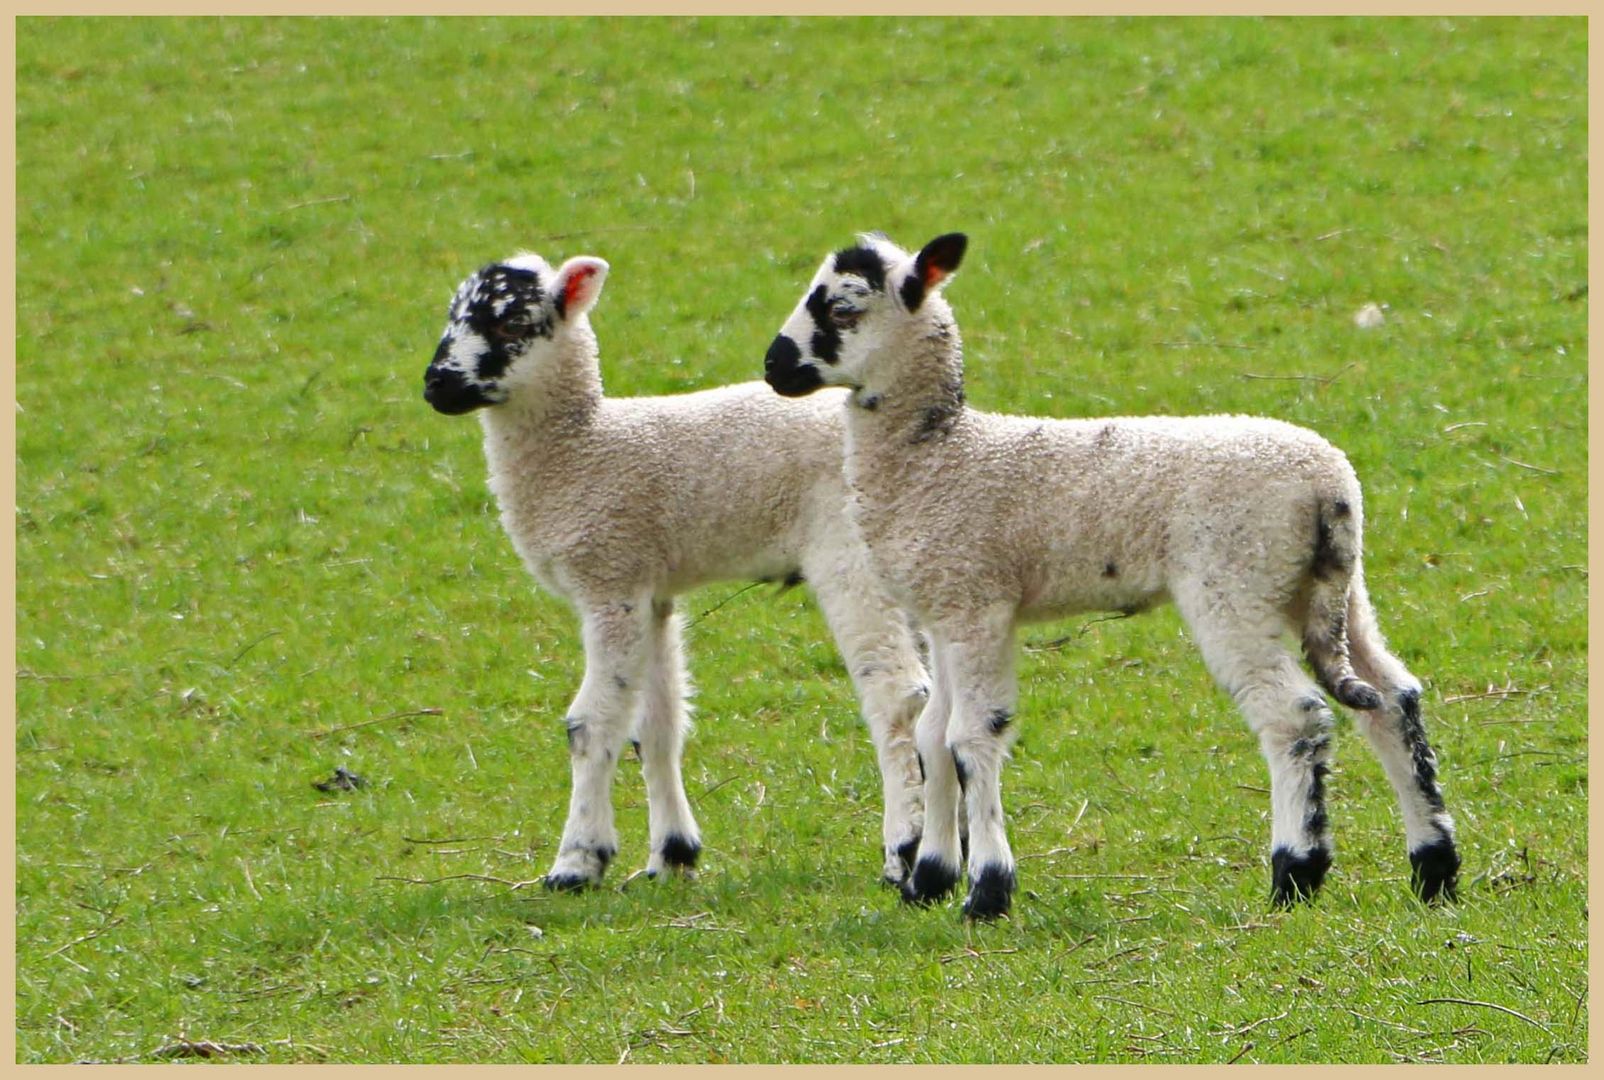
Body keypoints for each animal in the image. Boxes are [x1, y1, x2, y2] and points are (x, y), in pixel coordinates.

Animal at [760, 234, 1456, 917]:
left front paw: (986, 891)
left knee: (1295, 716)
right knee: (1391, 699)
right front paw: (929, 880)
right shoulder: (944, 613)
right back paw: (1434, 870)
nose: (772, 366)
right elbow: (933, 738)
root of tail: (1329, 487)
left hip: (1235, 581)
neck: (938, 453)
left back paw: (1295, 874)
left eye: (842, 307)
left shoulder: (976, 602)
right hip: (1330, 586)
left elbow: (970, 739)